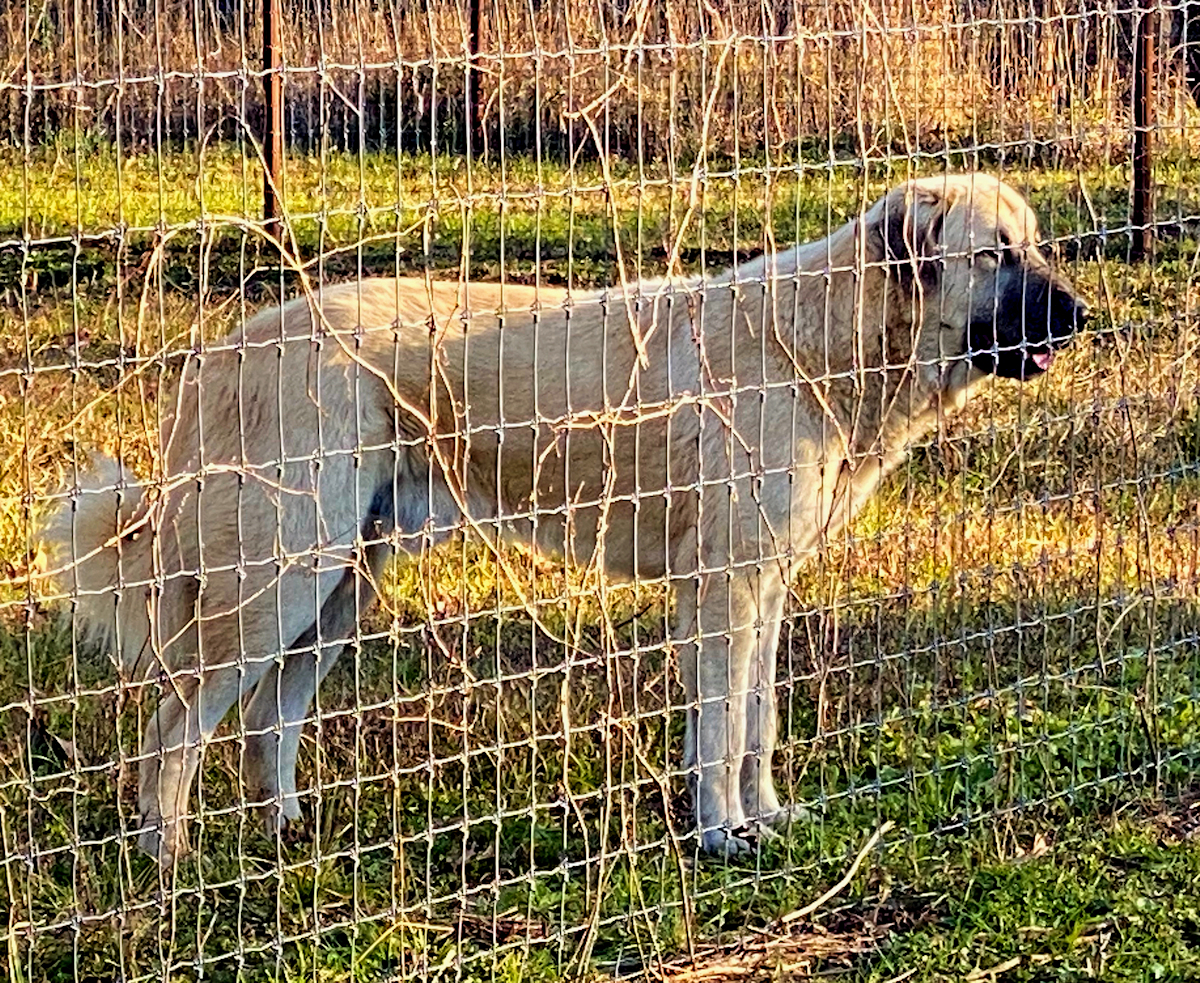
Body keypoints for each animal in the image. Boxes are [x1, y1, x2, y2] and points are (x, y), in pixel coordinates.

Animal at [46, 172, 1089, 864]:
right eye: (994, 255)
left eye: (1038, 246)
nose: (1080, 319)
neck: (821, 344)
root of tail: (229, 347)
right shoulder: (722, 594)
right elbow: (721, 730)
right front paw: (723, 833)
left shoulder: (762, 591)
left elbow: (755, 724)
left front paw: (763, 815)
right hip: (280, 583)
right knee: (173, 727)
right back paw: (168, 859)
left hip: (339, 587)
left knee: (269, 717)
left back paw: (287, 836)